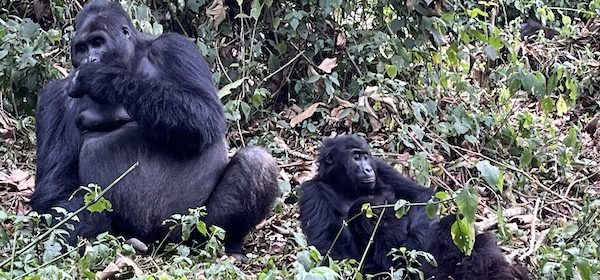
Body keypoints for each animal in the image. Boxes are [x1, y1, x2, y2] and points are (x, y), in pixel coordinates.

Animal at [30, 0, 278, 256]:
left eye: (97, 43)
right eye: (81, 48)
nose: (90, 60)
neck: (133, 59)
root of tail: (155, 243)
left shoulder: (176, 47)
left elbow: (205, 113)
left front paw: (100, 77)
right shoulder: (54, 97)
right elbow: (56, 189)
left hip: (191, 227)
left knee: (256, 164)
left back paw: (230, 242)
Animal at [300, 135, 528, 278]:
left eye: (366, 156)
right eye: (356, 157)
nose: (367, 169)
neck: (340, 183)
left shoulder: (380, 165)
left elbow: (423, 197)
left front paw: (414, 246)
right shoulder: (311, 192)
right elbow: (329, 255)